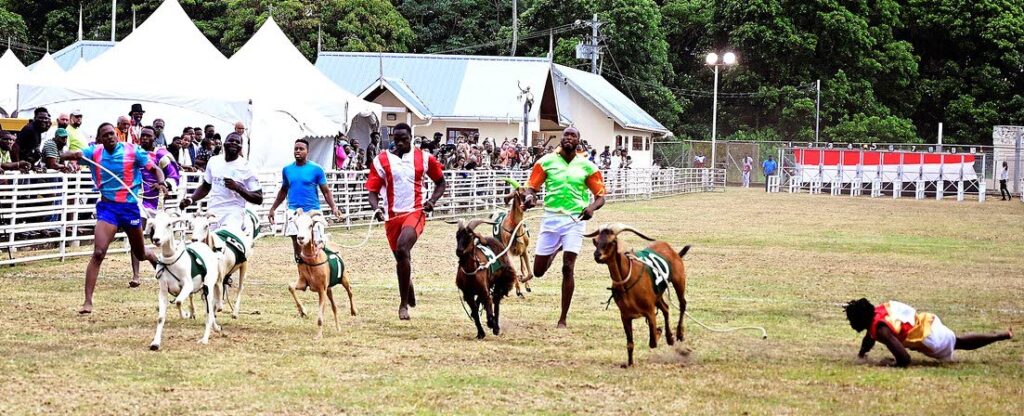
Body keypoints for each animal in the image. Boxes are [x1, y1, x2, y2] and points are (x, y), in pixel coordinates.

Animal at [585, 224, 688, 366]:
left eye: (612, 241)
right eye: (596, 241)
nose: (597, 255)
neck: (626, 282)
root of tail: (672, 250)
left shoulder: (650, 312)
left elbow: (653, 342)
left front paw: (659, 331)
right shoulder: (625, 316)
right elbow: (630, 343)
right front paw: (630, 363)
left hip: (679, 280)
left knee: (682, 304)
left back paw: (679, 333)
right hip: (657, 295)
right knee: (666, 308)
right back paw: (670, 338)